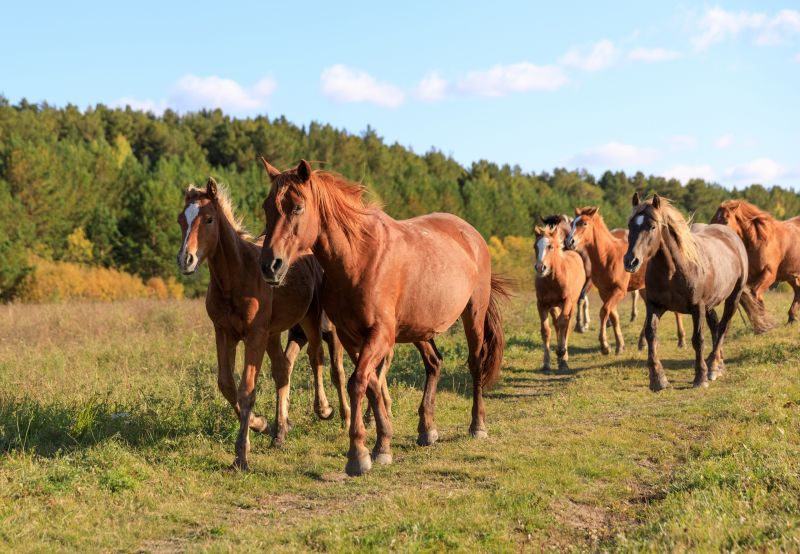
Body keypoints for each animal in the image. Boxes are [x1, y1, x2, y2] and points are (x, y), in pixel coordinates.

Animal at [177, 178, 348, 470]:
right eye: (181, 220)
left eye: (209, 219)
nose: (185, 260)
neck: (237, 277)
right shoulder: (224, 332)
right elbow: (227, 385)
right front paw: (262, 425)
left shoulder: (254, 335)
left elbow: (247, 390)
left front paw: (241, 455)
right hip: (275, 333)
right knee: (284, 369)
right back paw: (280, 431)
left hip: (314, 321)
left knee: (323, 359)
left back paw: (332, 412)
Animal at [258, 156, 506, 474]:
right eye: (267, 207)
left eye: (297, 207)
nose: (270, 265)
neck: (359, 258)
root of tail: (471, 234)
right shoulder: (352, 337)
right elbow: (371, 384)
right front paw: (382, 443)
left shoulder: (378, 335)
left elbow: (358, 383)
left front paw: (358, 454)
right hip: (418, 328)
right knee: (434, 363)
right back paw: (427, 429)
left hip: (472, 315)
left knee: (475, 363)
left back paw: (477, 425)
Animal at [536, 222, 584, 368]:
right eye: (535, 246)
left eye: (550, 246)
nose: (540, 268)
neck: (553, 280)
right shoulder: (542, 304)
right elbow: (546, 330)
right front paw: (546, 363)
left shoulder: (567, 301)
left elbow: (563, 323)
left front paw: (562, 352)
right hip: (554, 306)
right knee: (556, 323)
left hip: (572, 304)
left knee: (566, 325)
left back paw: (563, 357)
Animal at [564, 205, 688, 352]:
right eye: (572, 223)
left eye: (584, 223)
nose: (569, 242)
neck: (608, 256)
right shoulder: (604, 292)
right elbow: (613, 315)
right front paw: (620, 345)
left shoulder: (619, 291)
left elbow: (604, 311)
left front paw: (605, 346)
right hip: (645, 289)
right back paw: (643, 342)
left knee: (676, 311)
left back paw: (681, 341)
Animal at [620, 192, 772, 390]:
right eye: (630, 225)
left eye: (652, 226)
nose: (631, 261)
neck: (674, 270)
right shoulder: (655, 306)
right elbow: (651, 335)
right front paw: (658, 379)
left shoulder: (697, 307)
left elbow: (698, 339)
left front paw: (700, 377)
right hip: (710, 304)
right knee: (715, 326)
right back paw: (718, 364)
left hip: (733, 298)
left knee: (723, 327)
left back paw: (713, 366)